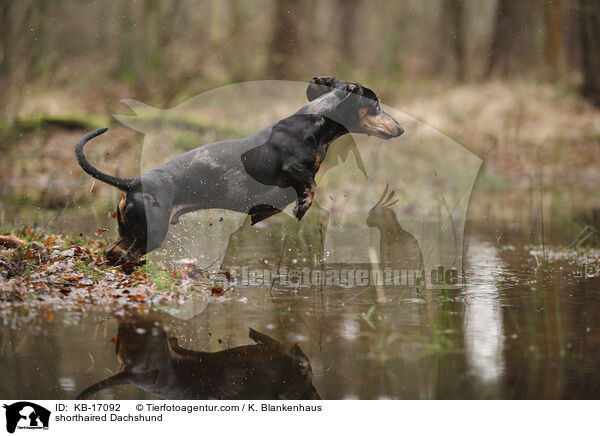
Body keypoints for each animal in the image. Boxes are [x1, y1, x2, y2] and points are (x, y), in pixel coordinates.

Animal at [76, 76, 404, 264]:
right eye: (376, 104)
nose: (400, 129)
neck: (314, 121)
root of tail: (132, 183)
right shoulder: (293, 168)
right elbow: (311, 185)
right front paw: (302, 207)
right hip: (151, 233)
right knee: (127, 258)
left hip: (131, 232)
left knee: (112, 253)